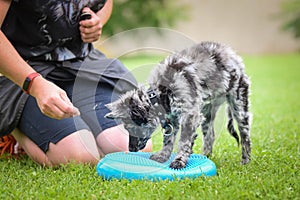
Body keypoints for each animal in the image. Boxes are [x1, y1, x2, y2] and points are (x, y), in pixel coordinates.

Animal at [105, 41, 251, 169]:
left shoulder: (189, 116)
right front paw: (162, 156)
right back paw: (205, 156)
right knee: (210, 136)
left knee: (245, 136)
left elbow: (184, 141)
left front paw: (179, 161)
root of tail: (231, 55)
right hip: (206, 113)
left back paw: (245, 161)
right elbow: (168, 140)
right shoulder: (172, 119)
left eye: (130, 128)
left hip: (239, 106)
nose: (131, 149)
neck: (161, 93)